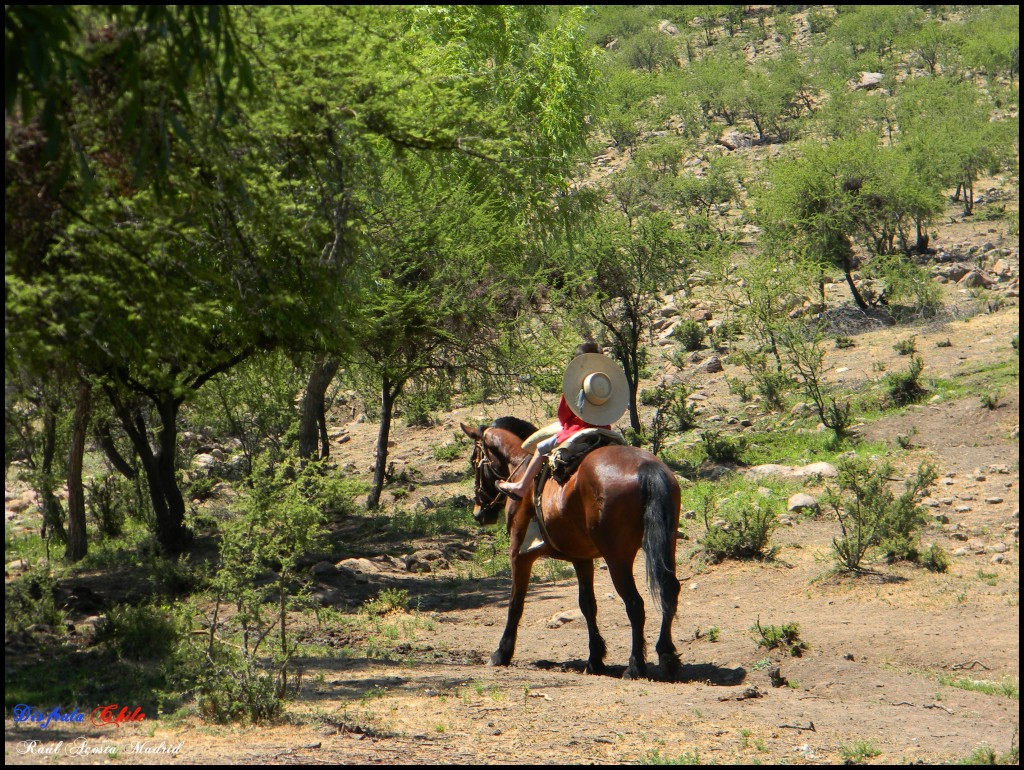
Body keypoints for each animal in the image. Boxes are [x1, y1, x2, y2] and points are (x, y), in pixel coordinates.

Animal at [460, 415, 684, 679]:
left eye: (474, 461)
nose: (478, 513)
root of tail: (646, 468)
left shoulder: (519, 553)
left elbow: (516, 602)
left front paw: (501, 653)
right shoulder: (582, 558)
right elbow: (588, 605)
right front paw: (595, 659)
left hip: (617, 558)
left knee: (635, 603)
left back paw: (635, 665)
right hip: (666, 546)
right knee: (669, 590)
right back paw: (667, 655)